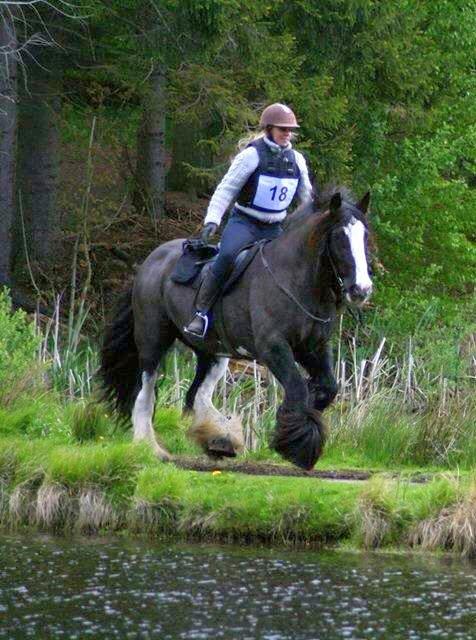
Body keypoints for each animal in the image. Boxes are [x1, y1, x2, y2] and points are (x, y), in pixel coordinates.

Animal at [100, 188, 374, 468]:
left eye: (365, 236)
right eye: (340, 238)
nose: (361, 290)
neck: (294, 279)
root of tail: (149, 261)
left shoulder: (312, 348)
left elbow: (328, 388)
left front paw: (303, 427)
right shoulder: (273, 347)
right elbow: (297, 388)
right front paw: (298, 446)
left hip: (212, 352)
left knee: (198, 394)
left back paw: (218, 440)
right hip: (152, 340)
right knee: (145, 392)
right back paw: (149, 447)